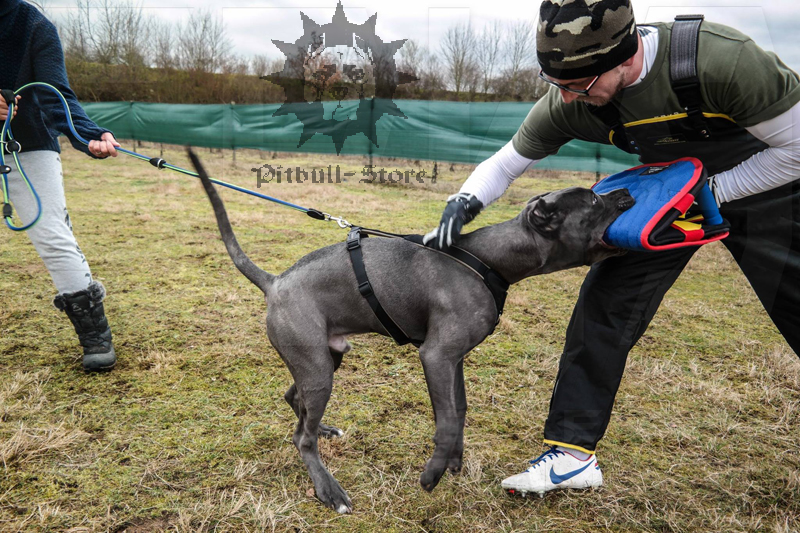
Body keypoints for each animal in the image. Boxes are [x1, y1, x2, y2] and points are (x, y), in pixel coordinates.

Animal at [188, 149, 632, 512]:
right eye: (594, 200)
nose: (627, 191)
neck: (490, 259)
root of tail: (275, 282)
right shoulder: (435, 355)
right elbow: (447, 420)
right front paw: (433, 473)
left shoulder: (454, 359)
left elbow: (458, 410)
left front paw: (454, 459)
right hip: (318, 369)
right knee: (302, 437)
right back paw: (329, 489)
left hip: (325, 358)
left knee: (294, 402)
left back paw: (324, 429)